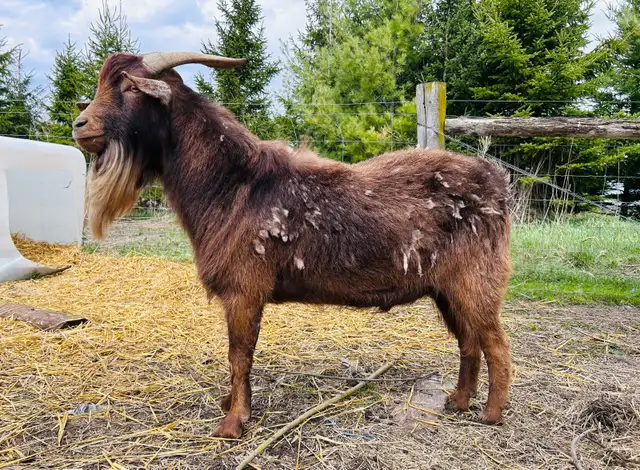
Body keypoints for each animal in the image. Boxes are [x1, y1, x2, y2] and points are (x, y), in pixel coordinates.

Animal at [72, 51, 513, 439]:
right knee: (469, 342)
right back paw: (458, 401)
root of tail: (497, 181)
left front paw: (232, 423)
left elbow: (239, 355)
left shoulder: (245, 288)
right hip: (445, 289)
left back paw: (491, 414)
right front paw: (230, 405)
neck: (233, 184)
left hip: (477, 280)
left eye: (130, 87)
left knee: (496, 343)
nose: (79, 124)